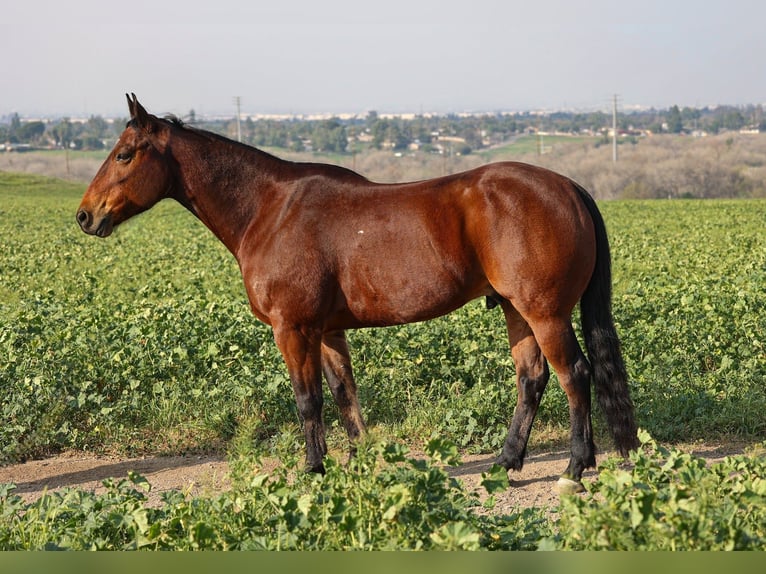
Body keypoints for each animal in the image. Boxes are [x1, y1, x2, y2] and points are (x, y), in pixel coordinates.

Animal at [77, 94, 638, 493]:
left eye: (124, 154)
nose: (85, 215)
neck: (270, 210)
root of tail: (569, 188)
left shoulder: (293, 329)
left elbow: (308, 400)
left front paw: (314, 468)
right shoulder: (327, 331)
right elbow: (345, 394)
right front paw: (362, 460)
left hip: (545, 313)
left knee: (575, 375)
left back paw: (574, 468)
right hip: (516, 311)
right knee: (532, 379)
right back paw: (505, 462)